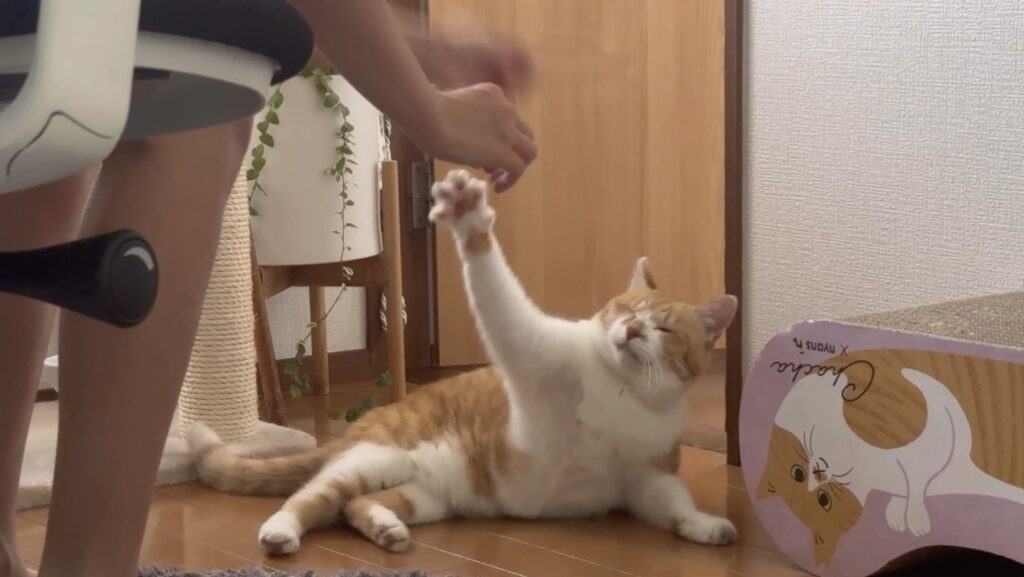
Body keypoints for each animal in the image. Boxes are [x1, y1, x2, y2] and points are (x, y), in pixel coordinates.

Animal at [187, 168, 739, 555]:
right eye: (625, 310)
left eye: (663, 328)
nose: (630, 331)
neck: (619, 392)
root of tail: (353, 431)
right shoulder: (529, 347)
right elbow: (494, 284)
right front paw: (470, 219)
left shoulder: (648, 477)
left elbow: (676, 505)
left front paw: (706, 526)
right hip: (371, 460)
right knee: (310, 496)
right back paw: (280, 532)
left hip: (424, 496)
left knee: (353, 506)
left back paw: (386, 529)